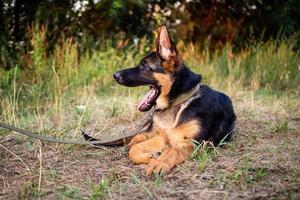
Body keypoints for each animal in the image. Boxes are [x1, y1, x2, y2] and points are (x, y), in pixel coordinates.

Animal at [113, 26, 236, 175]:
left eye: (144, 66)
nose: (115, 75)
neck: (179, 102)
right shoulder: (161, 138)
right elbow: (135, 148)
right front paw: (149, 157)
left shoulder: (191, 143)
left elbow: (172, 151)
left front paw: (158, 162)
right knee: (138, 137)